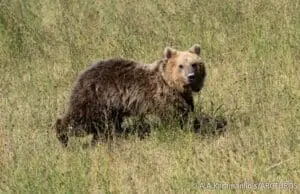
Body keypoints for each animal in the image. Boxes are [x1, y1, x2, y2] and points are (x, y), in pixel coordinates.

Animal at [55, 44, 206, 146]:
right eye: (181, 65)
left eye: (194, 64)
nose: (191, 76)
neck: (171, 83)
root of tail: (82, 75)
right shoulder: (163, 96)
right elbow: (173, 115)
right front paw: (177, 130)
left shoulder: (184, 97)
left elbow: (187, 111)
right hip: (96, 98)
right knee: (81, 120)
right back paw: (63, 137)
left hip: (110, 107)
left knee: (106, 125)